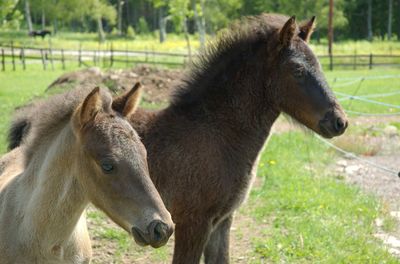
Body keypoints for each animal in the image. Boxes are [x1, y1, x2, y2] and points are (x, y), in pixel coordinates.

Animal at [9, 14, 346, 264]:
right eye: (298, 70)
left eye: (319, 64)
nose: (339, 121)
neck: (216, 133)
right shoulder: (193, 222)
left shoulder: (222, 222)